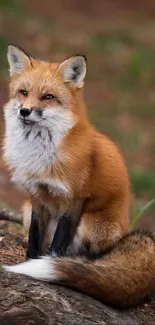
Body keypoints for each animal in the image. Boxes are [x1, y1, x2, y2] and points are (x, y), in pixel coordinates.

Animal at [3, 44, 155, 308]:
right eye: (23, 92)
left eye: (47, 97)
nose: (24, 111)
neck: (41, 155)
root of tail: (123, 233)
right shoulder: (37, 199)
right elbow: (34, 240)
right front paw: (29, 261)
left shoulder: (73, 199)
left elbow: (57, 245)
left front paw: (51, 264)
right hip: (25, 209)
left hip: (90, 224)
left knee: (90, 255)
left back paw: (85, 265)